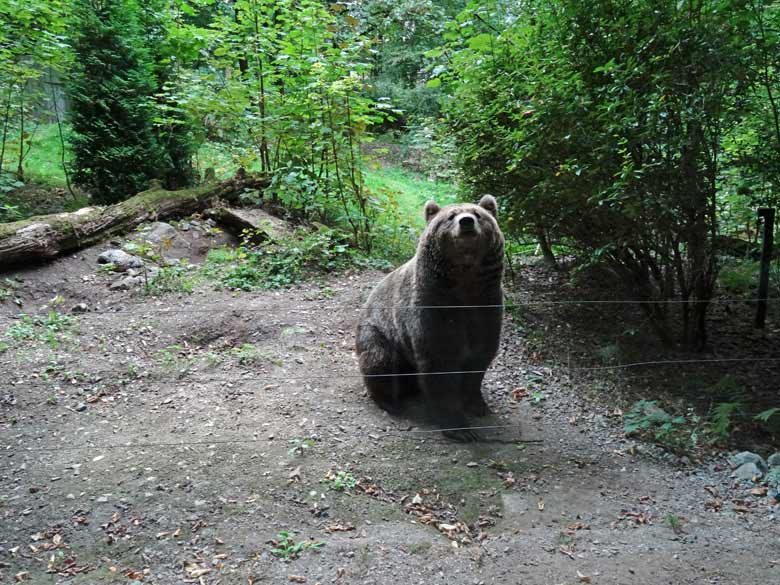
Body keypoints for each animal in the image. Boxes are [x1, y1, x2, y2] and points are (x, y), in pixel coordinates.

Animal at [354, 194, 506, 440]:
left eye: (478, 214)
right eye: (450, 216)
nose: (466, 222)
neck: (464, 283)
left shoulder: (486, 306)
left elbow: (479, 357)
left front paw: (477, 404)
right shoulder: (434, 309)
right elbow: (439, 364)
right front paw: (459, 428)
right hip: (378, 332)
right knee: (379, 361)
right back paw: (390, 402)